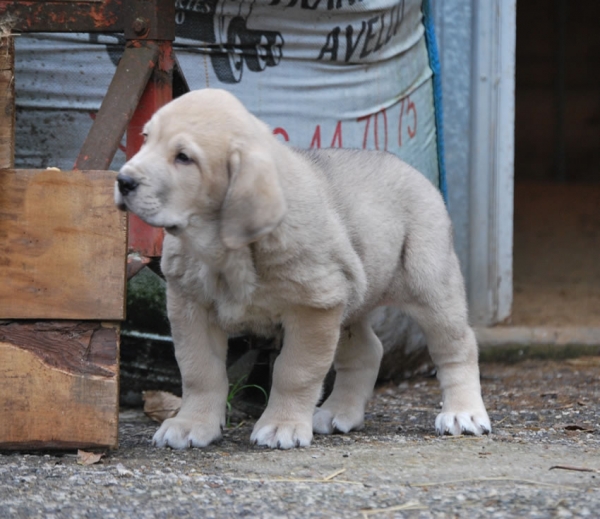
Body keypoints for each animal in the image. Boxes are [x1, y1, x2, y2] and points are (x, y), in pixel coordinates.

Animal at [115, 87, 490, 448]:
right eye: (145, 138)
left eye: (184, 157)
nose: (122, 180)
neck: (226, 248)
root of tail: (412, 171)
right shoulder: (191, 306)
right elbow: (199, 371)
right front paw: (191, 425)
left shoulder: (314, 308)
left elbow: (294, 372)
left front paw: (281, 426)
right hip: (352, 300)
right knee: (368, 352)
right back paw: (339, 413)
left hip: (430, 284)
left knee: (457, 346)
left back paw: (463, 414)